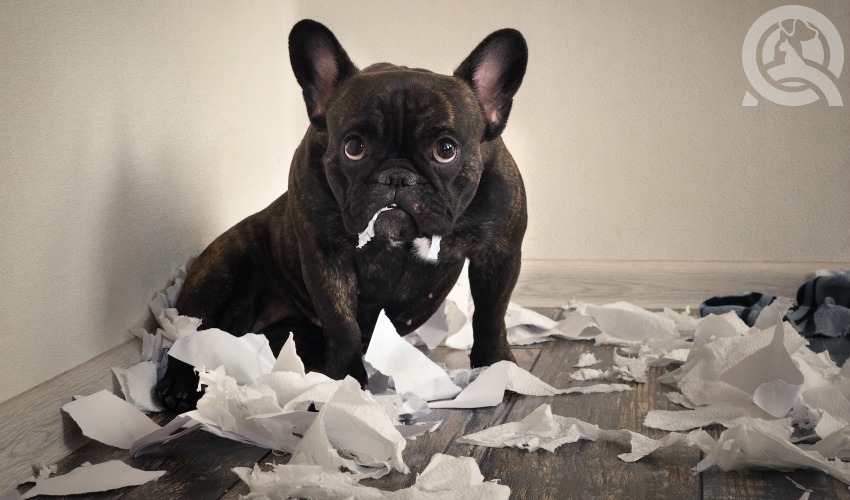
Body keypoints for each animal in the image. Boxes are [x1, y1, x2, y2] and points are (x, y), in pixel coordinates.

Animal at [152, 19, 524, 410]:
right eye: (354, 147)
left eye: (446, 150)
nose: (397, 176)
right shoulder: (327, 255)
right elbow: (341, 324)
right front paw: (345, 382)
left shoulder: (499, 253)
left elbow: (491, 314)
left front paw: (497, 367)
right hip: (219, 276)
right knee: (191, 336)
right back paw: (179, 384)